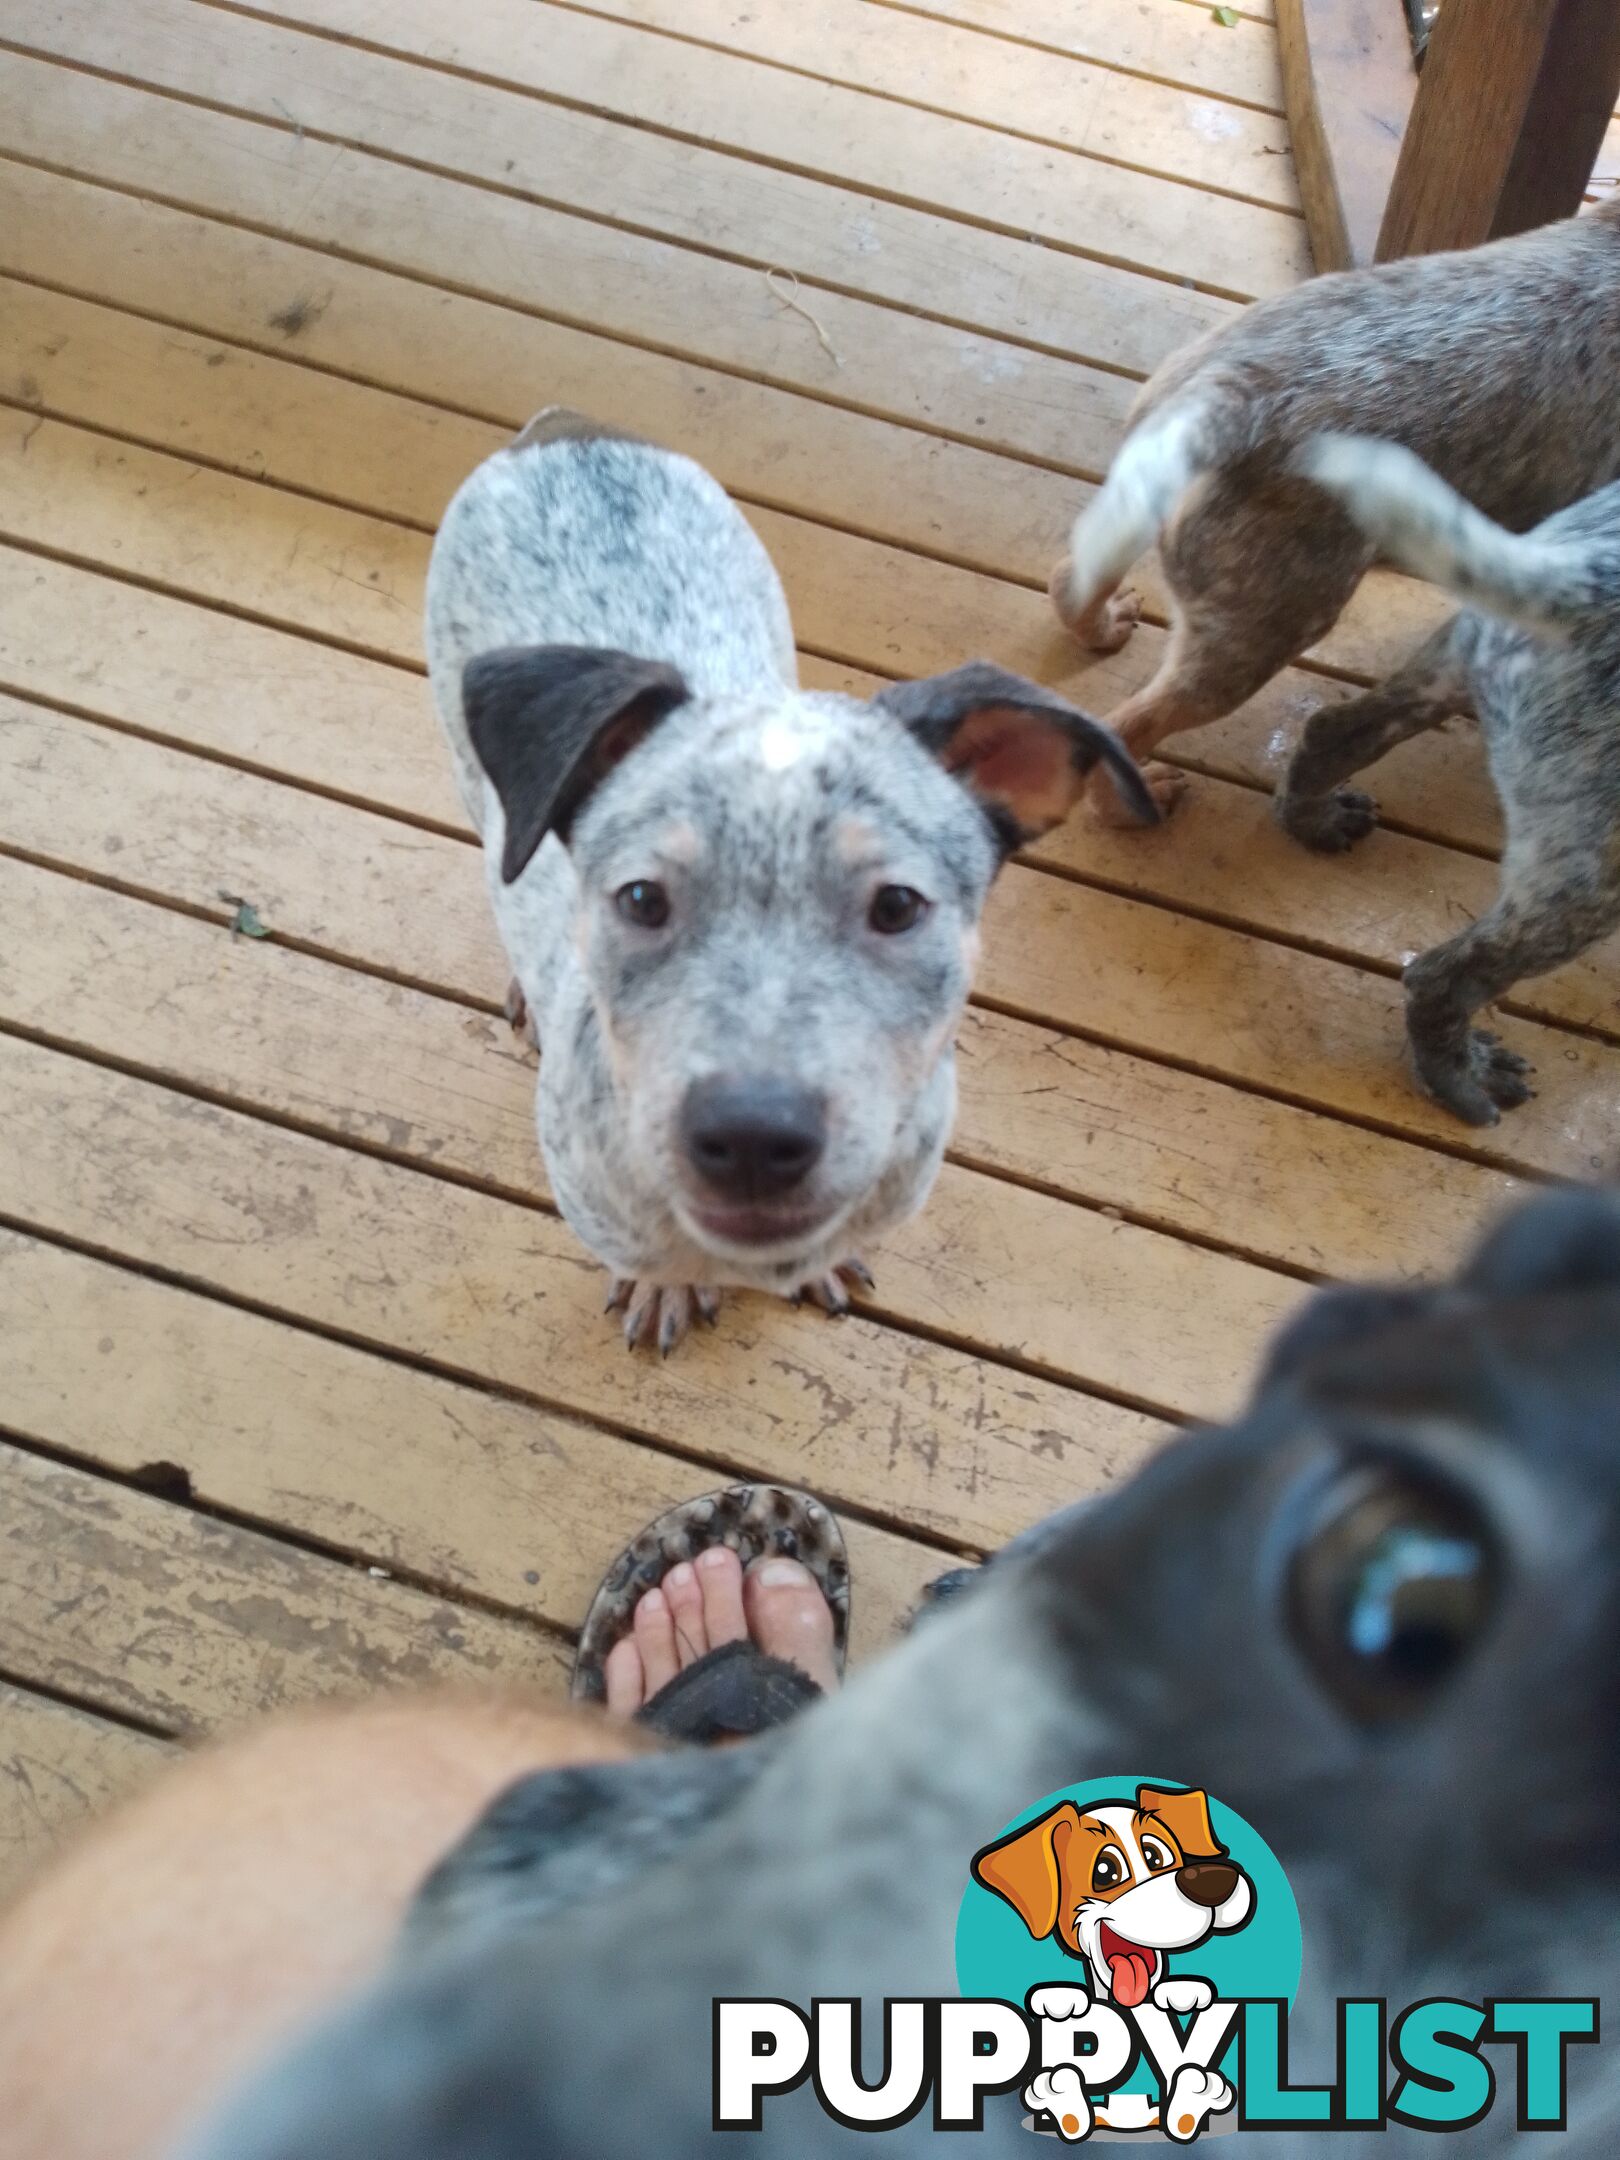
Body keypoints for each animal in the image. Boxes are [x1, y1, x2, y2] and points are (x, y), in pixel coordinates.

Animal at [1278, 432, 1620, 1123]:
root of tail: (1582, 575)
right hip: (1593, 878)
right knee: (1441, 977)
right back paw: (1465, 1078)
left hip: (1449, 662)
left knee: (1336, 730)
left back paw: (1316, 817)